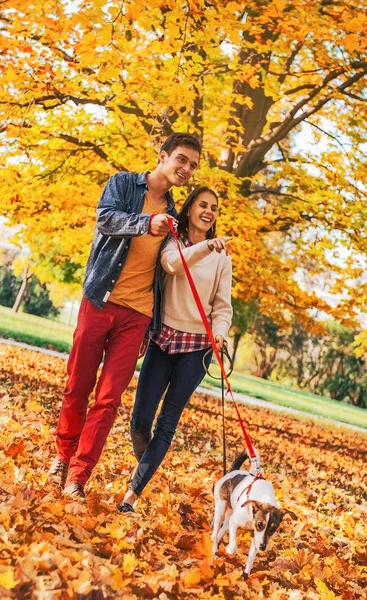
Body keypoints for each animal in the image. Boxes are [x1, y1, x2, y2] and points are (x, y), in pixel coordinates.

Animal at [213, 448, 296, 580]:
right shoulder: (235, 522)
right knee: (216, 531)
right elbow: (234, 545)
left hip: (228, 518)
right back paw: (214, 550)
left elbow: (251, 557)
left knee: (221, 531)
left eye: (273, 529)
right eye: (260, 524)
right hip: (220, 509)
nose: (262, 547)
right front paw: (230, 550)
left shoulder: (257, 537)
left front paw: (246, 575)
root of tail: (233, 471)